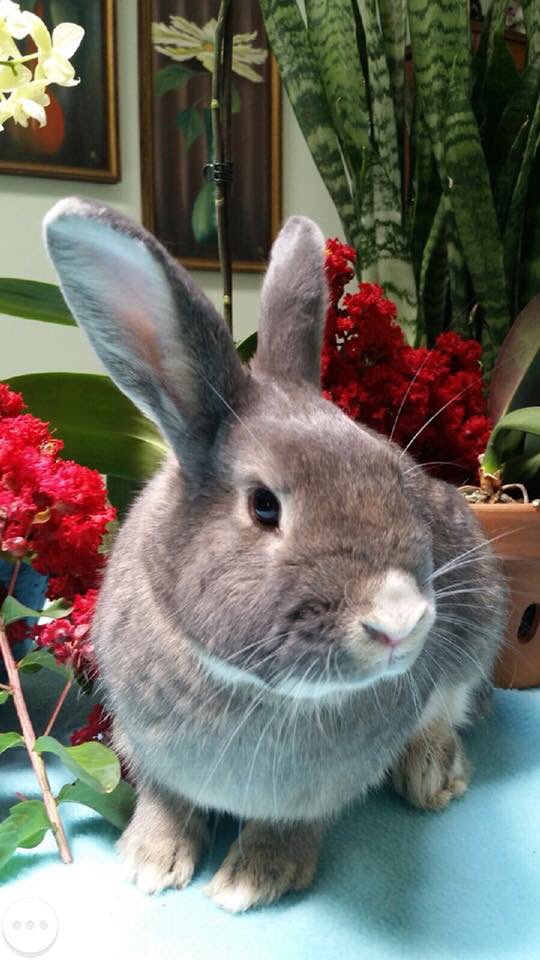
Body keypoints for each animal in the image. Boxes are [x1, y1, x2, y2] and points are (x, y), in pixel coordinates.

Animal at [44, 198, 507, 912]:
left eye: (394, 475)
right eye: (264, 506)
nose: (401, 623)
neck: (252, 689)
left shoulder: (316, 790)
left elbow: (287, 825)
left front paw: (251, 880)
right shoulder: (147, 749)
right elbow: (165, 802)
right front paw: (152, 862)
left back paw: (432, 776)